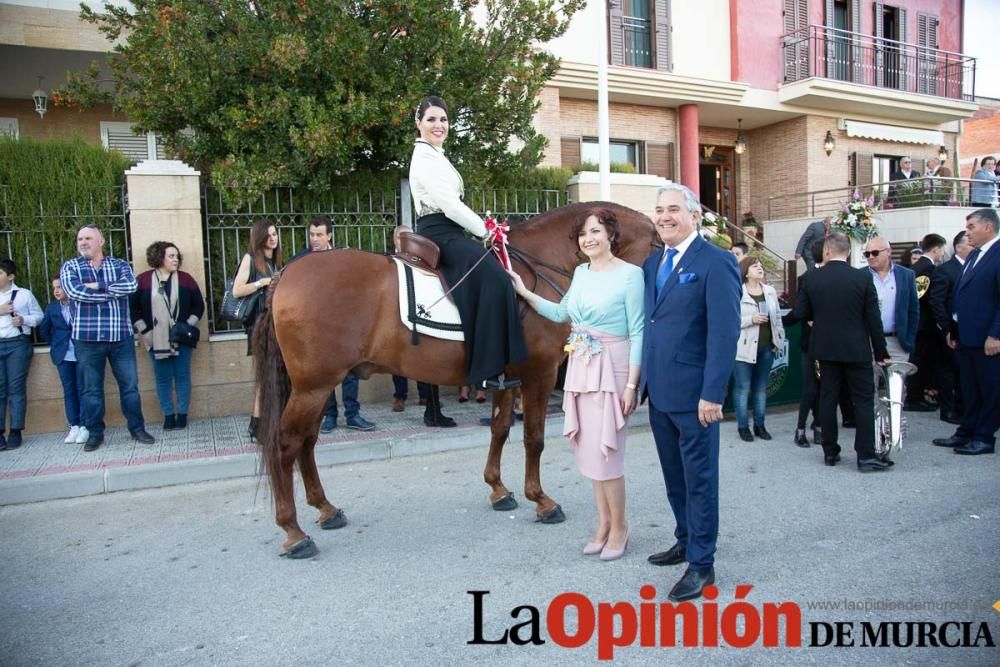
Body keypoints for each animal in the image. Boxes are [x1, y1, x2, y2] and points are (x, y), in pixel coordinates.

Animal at [252, 202, 656, 560]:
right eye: (657, 242)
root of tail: (285, 273)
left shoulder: (506, 379)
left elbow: (500, 429)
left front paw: (498, 489)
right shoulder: (538, 375)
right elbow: (534, 438)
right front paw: (541, 500)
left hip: (318, 388)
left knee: (306, 443)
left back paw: (325, 509)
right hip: (314, 387)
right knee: (286, 444)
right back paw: (293, 531)